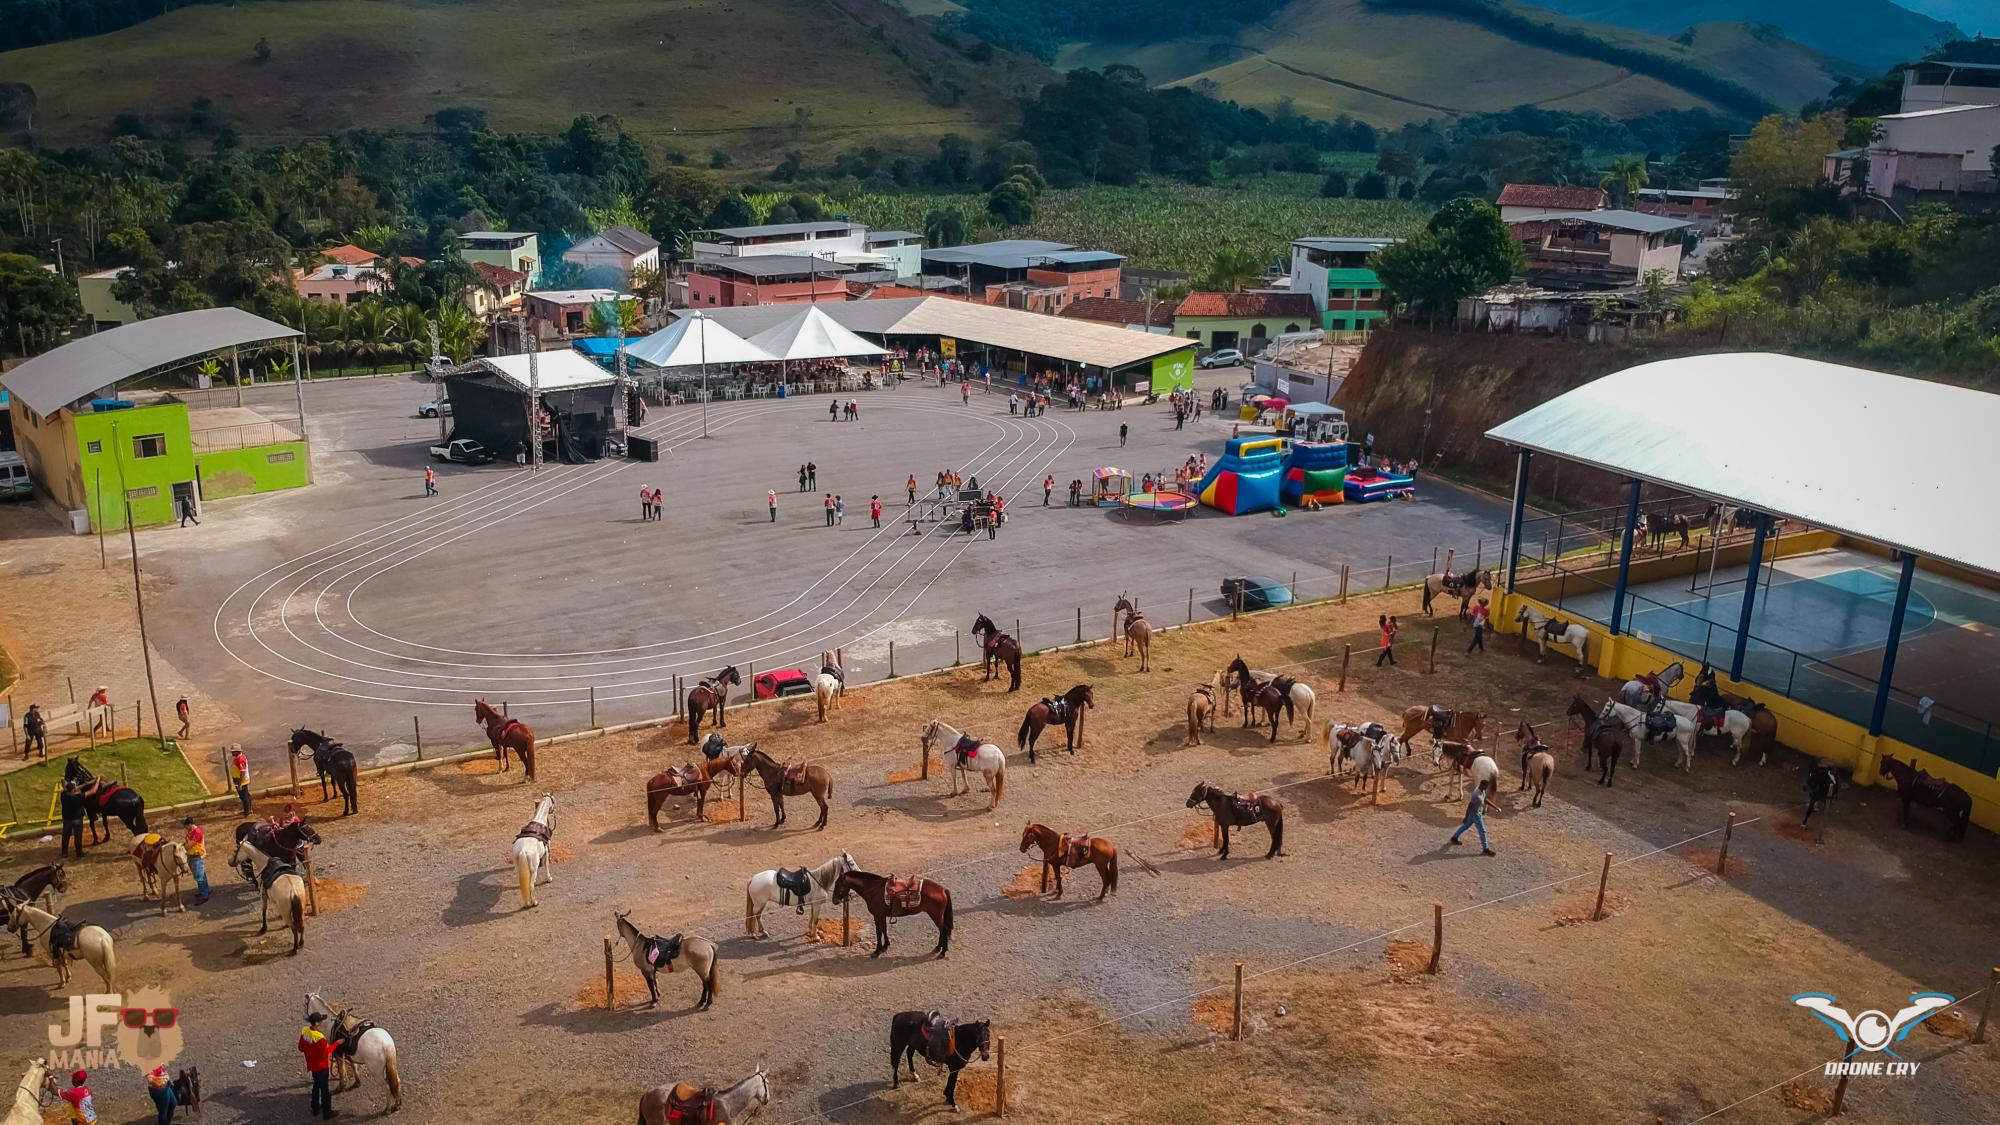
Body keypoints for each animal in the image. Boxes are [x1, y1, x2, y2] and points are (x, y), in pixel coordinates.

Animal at [1024, 820, 1152, 896]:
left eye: (1026, 836)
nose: (1021, 848)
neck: (1054, 843)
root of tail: (1111, 846)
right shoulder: (1056, 865)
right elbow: (1058, 877)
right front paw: (1057, 890)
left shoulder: (1055, 865)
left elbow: (1058, 878)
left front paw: (1059, 893)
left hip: (1100, 866)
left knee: (1106, 879)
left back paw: (1101, 896)